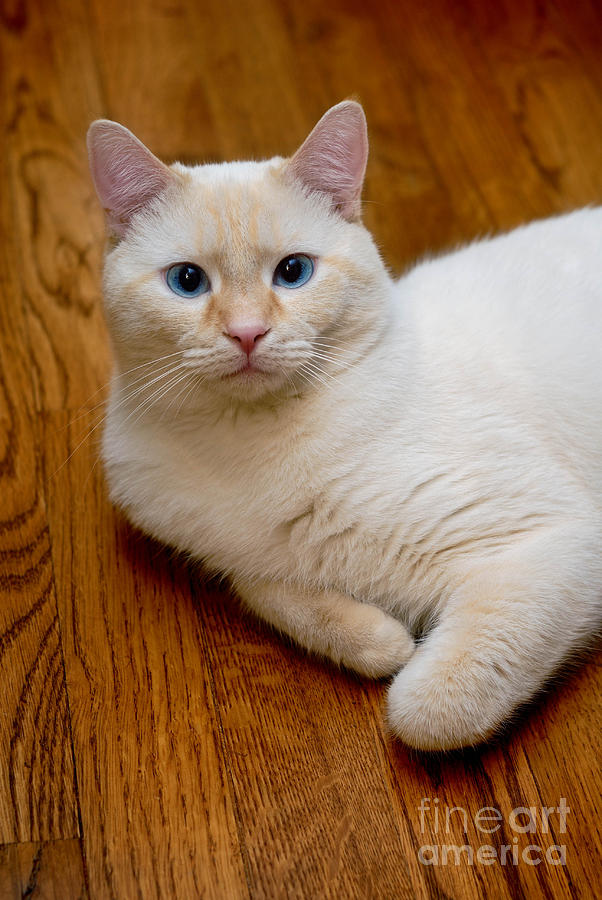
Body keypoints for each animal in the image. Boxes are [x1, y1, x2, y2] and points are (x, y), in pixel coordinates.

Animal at [88, 102, 600, 748]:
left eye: (293, 272)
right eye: (187, 281)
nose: (247, 333)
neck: (250, 447)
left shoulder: (548, 541)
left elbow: (427, 711)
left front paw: (409, 671)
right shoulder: (240, 563)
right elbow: (284, 600)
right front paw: (382, 640)